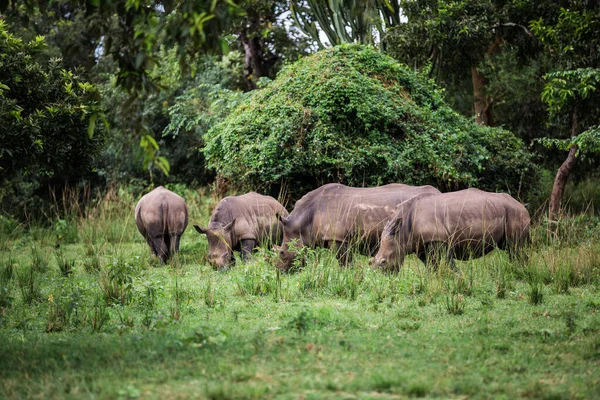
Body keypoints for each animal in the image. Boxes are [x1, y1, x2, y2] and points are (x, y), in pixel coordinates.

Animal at [274, 184, 438, 272]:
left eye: (282, 253)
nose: (280, 271)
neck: (301, 222)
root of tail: (437, 193)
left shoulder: (337, 238)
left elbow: (345, 262)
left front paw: (349, 276)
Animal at [370, 188, 528, 272]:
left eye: (384, 262)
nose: (384, 279)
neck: (402, 231)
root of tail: (521, 205)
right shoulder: (421, 244)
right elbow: (431, 266)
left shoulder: (438, 240)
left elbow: (448, 263)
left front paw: (458, 279)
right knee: (510, 248)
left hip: (515, 213)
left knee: (515, 248)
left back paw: (521, 270)